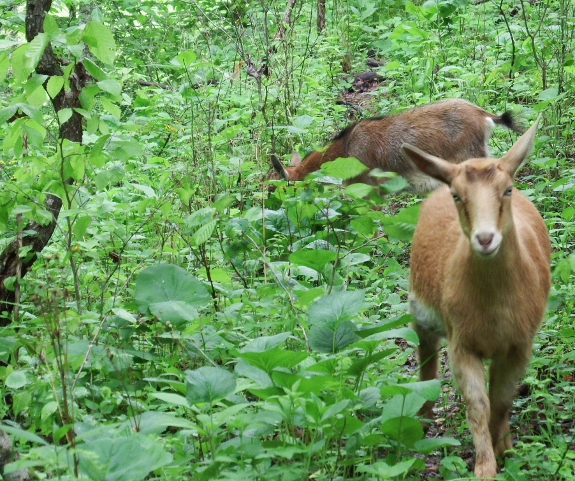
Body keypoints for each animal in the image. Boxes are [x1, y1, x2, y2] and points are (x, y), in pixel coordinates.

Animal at [402, 115, 552, 476]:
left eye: (507, 189)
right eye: (458, 195)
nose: (485, 239)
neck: (493, 310)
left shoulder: (519, 344)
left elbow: (501, 399)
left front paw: (504, 451)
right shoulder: (462, 343)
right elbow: (478, 404)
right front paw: (485, 467)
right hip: (421, 314)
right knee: (426, 369)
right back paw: (421, 427)